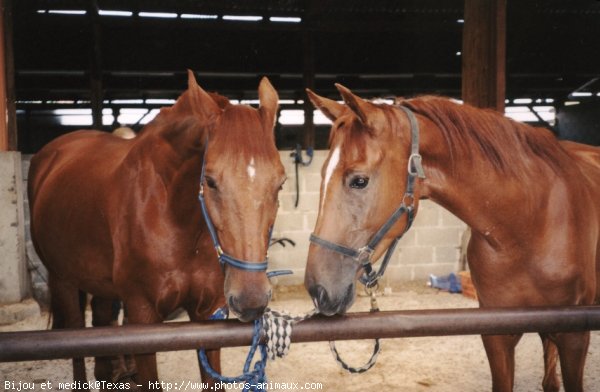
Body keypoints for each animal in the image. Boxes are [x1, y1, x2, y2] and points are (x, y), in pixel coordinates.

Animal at [29, 72, 288, 390]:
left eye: (280, 183)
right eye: (210, 181)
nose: (251, 299)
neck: (176, 220)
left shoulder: (208, 313)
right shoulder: (142, 315)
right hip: (62, 279)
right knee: (77, 336)